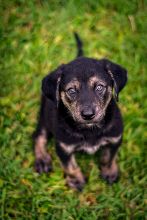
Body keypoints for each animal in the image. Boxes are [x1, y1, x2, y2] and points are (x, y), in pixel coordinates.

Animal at [33, 33, 127, 191]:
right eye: (72, 91)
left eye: (99, 87)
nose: (88, 115)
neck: (90, 130)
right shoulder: (63, 147)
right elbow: (70, 166)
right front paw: (76, 181)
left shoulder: (115, 138)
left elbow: (108, 158)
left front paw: (109, 172)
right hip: (45, 115)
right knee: (38, 136)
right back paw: (42, 159)